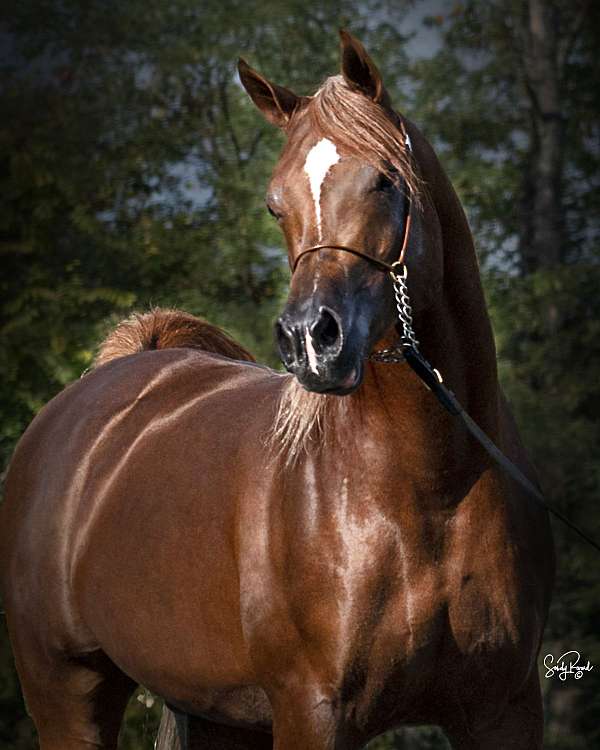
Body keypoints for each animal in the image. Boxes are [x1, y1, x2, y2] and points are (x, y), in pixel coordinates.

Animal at [0, 30, 552, 750]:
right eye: (275, 203)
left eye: (384, 180)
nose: (310, 339)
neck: (431, 488)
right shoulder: (310, 712)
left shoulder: (504, 708)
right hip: (66, 695)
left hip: (217, 713)